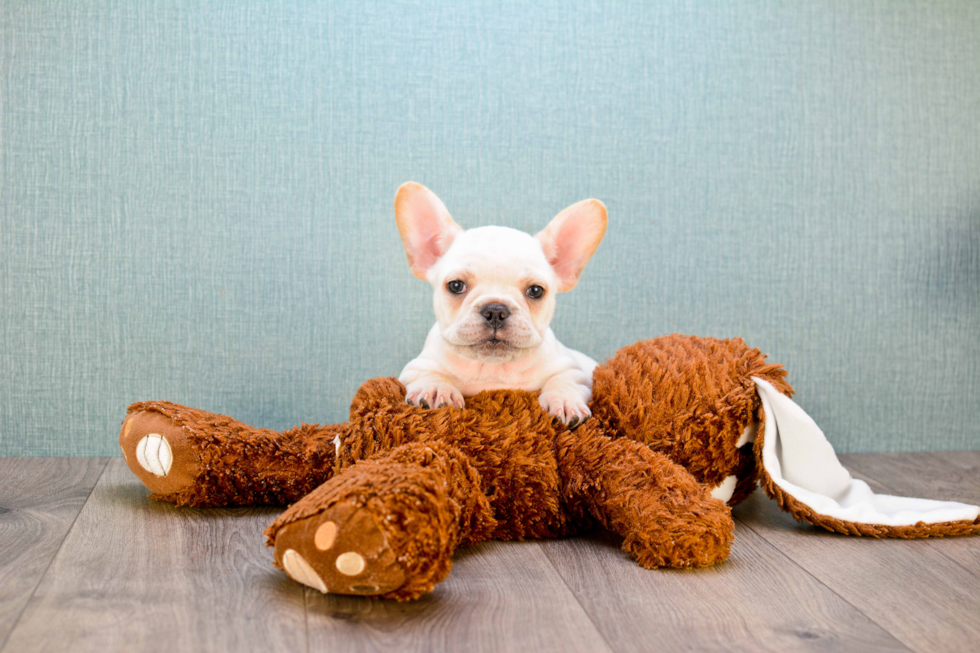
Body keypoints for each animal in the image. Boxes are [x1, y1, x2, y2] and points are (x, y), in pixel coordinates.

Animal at [394, 182, 608, 428]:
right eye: (456, 286)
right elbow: (429, 373)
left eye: (536, 291)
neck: (493, 369)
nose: (495, 310)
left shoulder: (574, 370)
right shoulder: (416, 367)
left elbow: (564, 380)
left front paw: (564, 400)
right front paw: (436, 389)